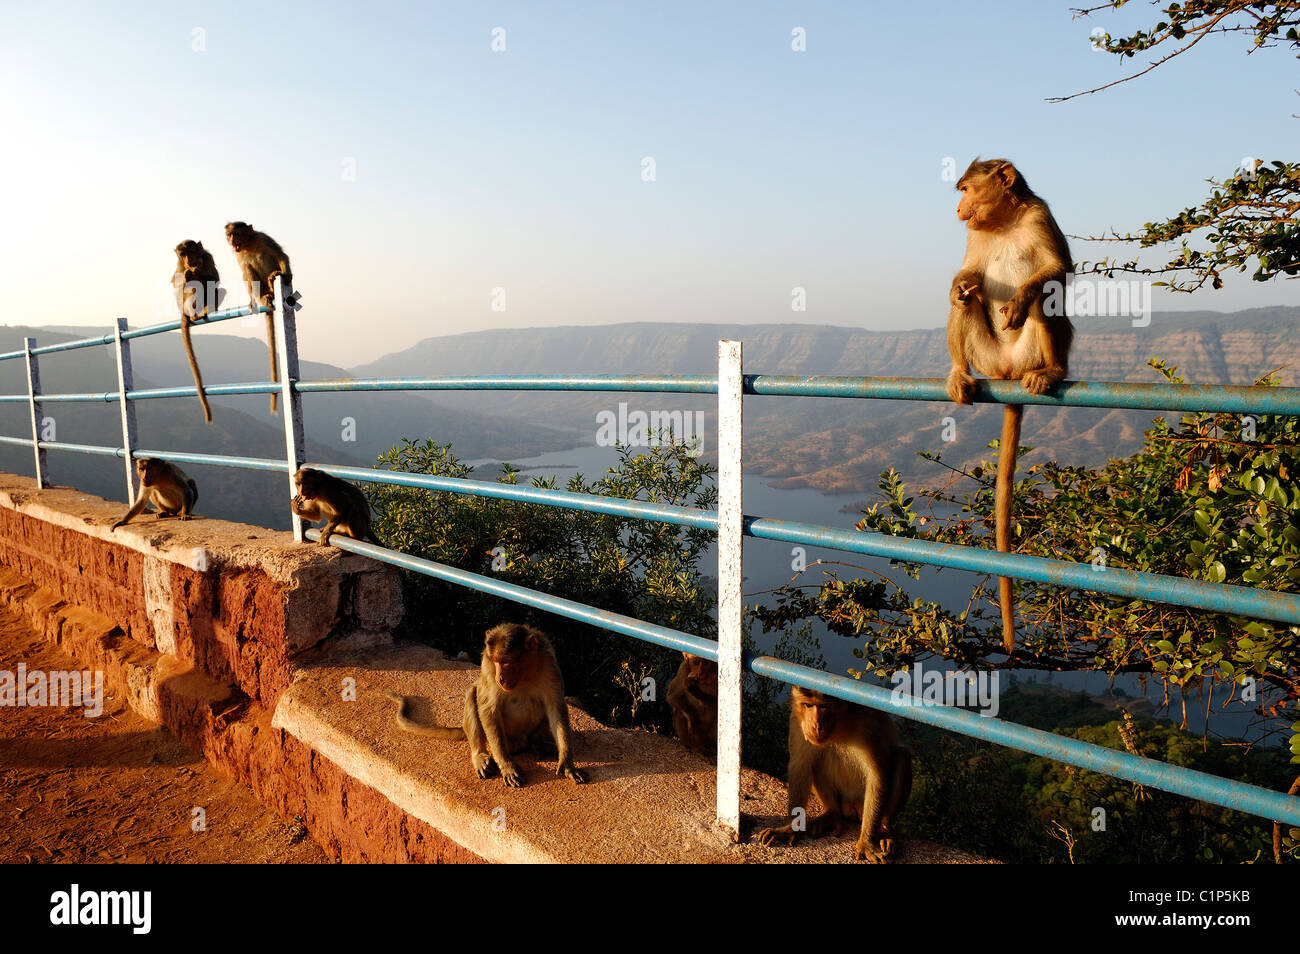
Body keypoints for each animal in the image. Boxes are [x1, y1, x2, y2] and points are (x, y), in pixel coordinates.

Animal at [171, 240, 226, 424]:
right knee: (192, 289)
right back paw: (195, 314)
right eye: (182, 254)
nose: (189, 261)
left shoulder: (208, 257)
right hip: (185, 306)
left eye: (191, 252)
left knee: (216, 290)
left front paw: (197, 270)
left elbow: (214, 280)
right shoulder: (180, 266)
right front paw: (189, 274)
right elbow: (177, 283)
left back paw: (207, 310)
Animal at [225, 221, 292, 413]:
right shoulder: (238, 254)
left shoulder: (263, 238)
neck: (248, 245)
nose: (232, 240)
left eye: (236, 233)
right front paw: (250, 300)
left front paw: (287, 275)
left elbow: (281, 256)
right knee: (248, 270)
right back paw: (263, 297)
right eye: (230, 234)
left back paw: (273, 280)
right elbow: (245, 271)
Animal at [385, 623, 588, 787]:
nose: (500, 677)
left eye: (505, 661)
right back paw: (480, 755)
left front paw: (567, 763)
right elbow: (488, 709)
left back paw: (538, 745)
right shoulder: (487, 666)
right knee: (473, 694)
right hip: (499, 740)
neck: (524, 673)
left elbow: (556, 707)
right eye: (496, 662)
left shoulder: (549, 663)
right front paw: (507, 766)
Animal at [757, 687, 911, 862]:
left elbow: (877, 777)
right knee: (817, 759)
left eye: (824, 706)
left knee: (902, 755)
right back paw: (832, 814)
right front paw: (791, 828)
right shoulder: (797, 721)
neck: (839, 725)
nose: (816, 725)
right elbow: (800, 766)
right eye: (808, 705)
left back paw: (884, 829)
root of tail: (852, 808)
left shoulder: (868, 725)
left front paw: (867, 843)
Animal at [944, 158, 1074, 655]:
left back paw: (1051, 370)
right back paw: (958, 372)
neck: (1003, 223)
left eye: (965, 188)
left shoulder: (1039, 215)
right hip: (987, 356)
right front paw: (959, 285)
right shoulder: (975, 236)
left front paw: (1018, 298)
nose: (958, 208)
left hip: (1026, 353)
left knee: (1045, 298)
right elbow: (967, 275)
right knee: (966, 299)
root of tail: (1006, 373)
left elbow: (1057, 270)